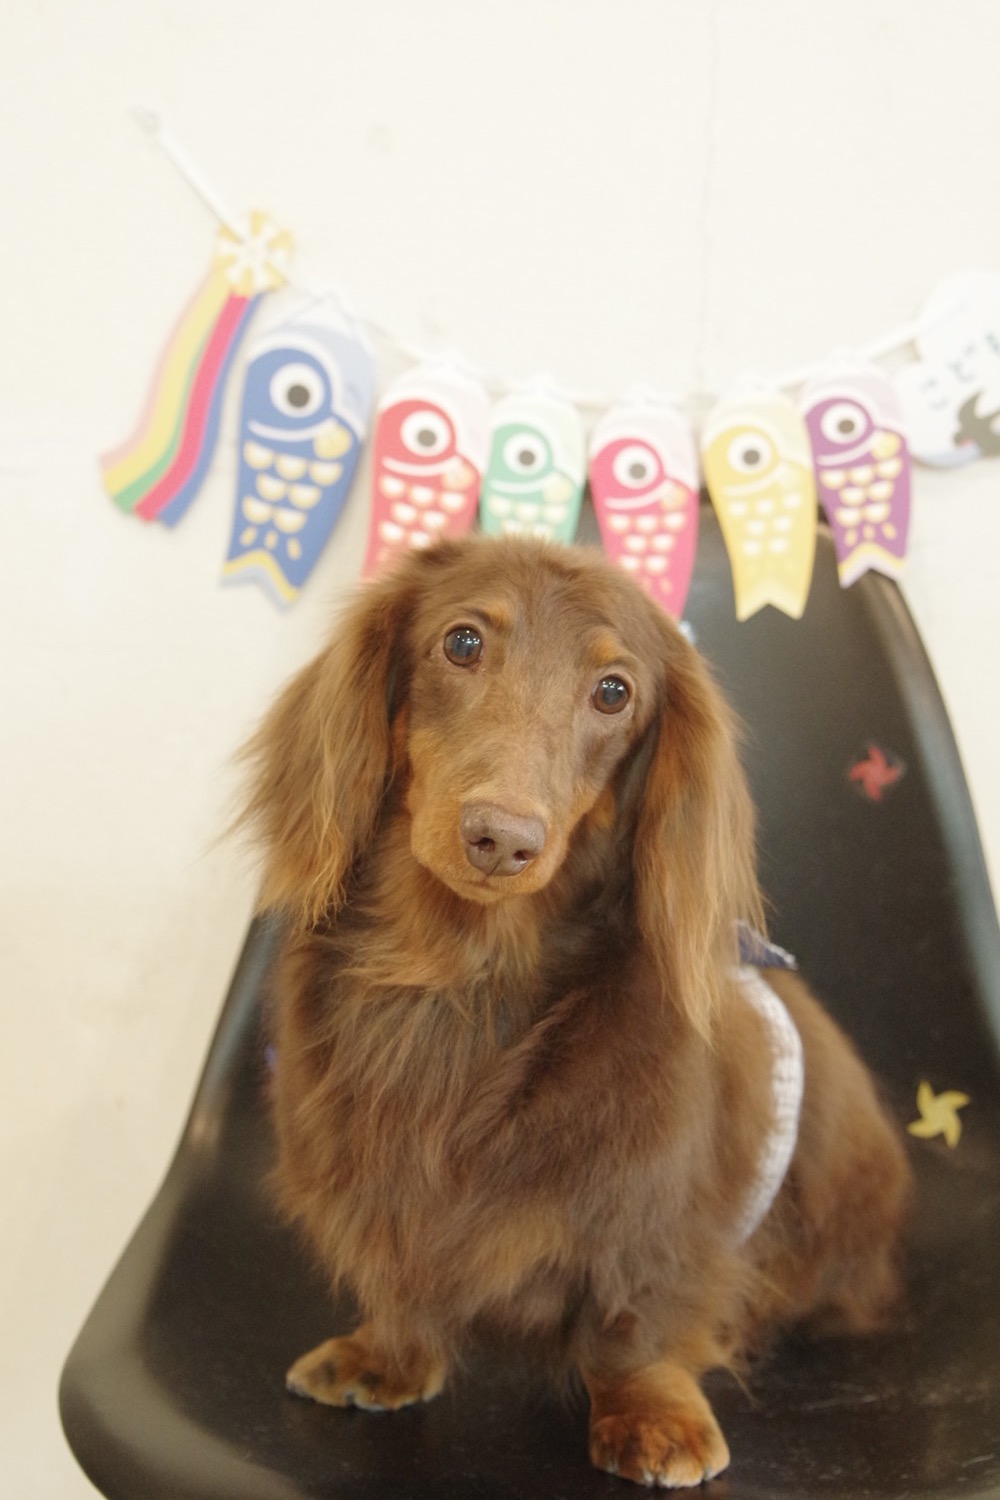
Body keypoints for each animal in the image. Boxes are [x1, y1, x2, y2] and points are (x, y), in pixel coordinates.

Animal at [239, 534, 912, 1488]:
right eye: (462, 642)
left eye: (614, 692)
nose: (501, 838)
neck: (460, 975)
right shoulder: (378, 1187)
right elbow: (402, 1278)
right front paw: (388, 1355)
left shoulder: (649, 1207)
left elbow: (631, 1319)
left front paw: (653, 1415)